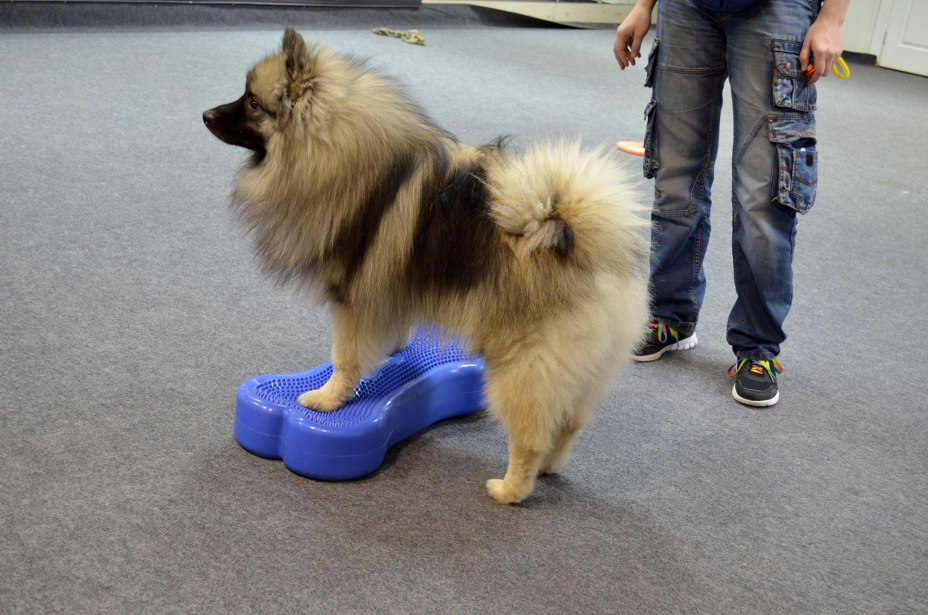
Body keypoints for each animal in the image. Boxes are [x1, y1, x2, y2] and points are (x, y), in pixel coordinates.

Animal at [206, 27, 648, 506]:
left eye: (252, 102)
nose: (206, 114)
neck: (336, 148)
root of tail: (581, 243)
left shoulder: (351, 299)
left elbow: (345, 359)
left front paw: (326, 399)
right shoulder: (387, 289)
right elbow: (392, 326)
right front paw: (396, 348)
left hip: (522, 366)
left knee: (530, 435)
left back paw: (510, 489)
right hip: (581, 371)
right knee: (569, 423)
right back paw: (549, 466)